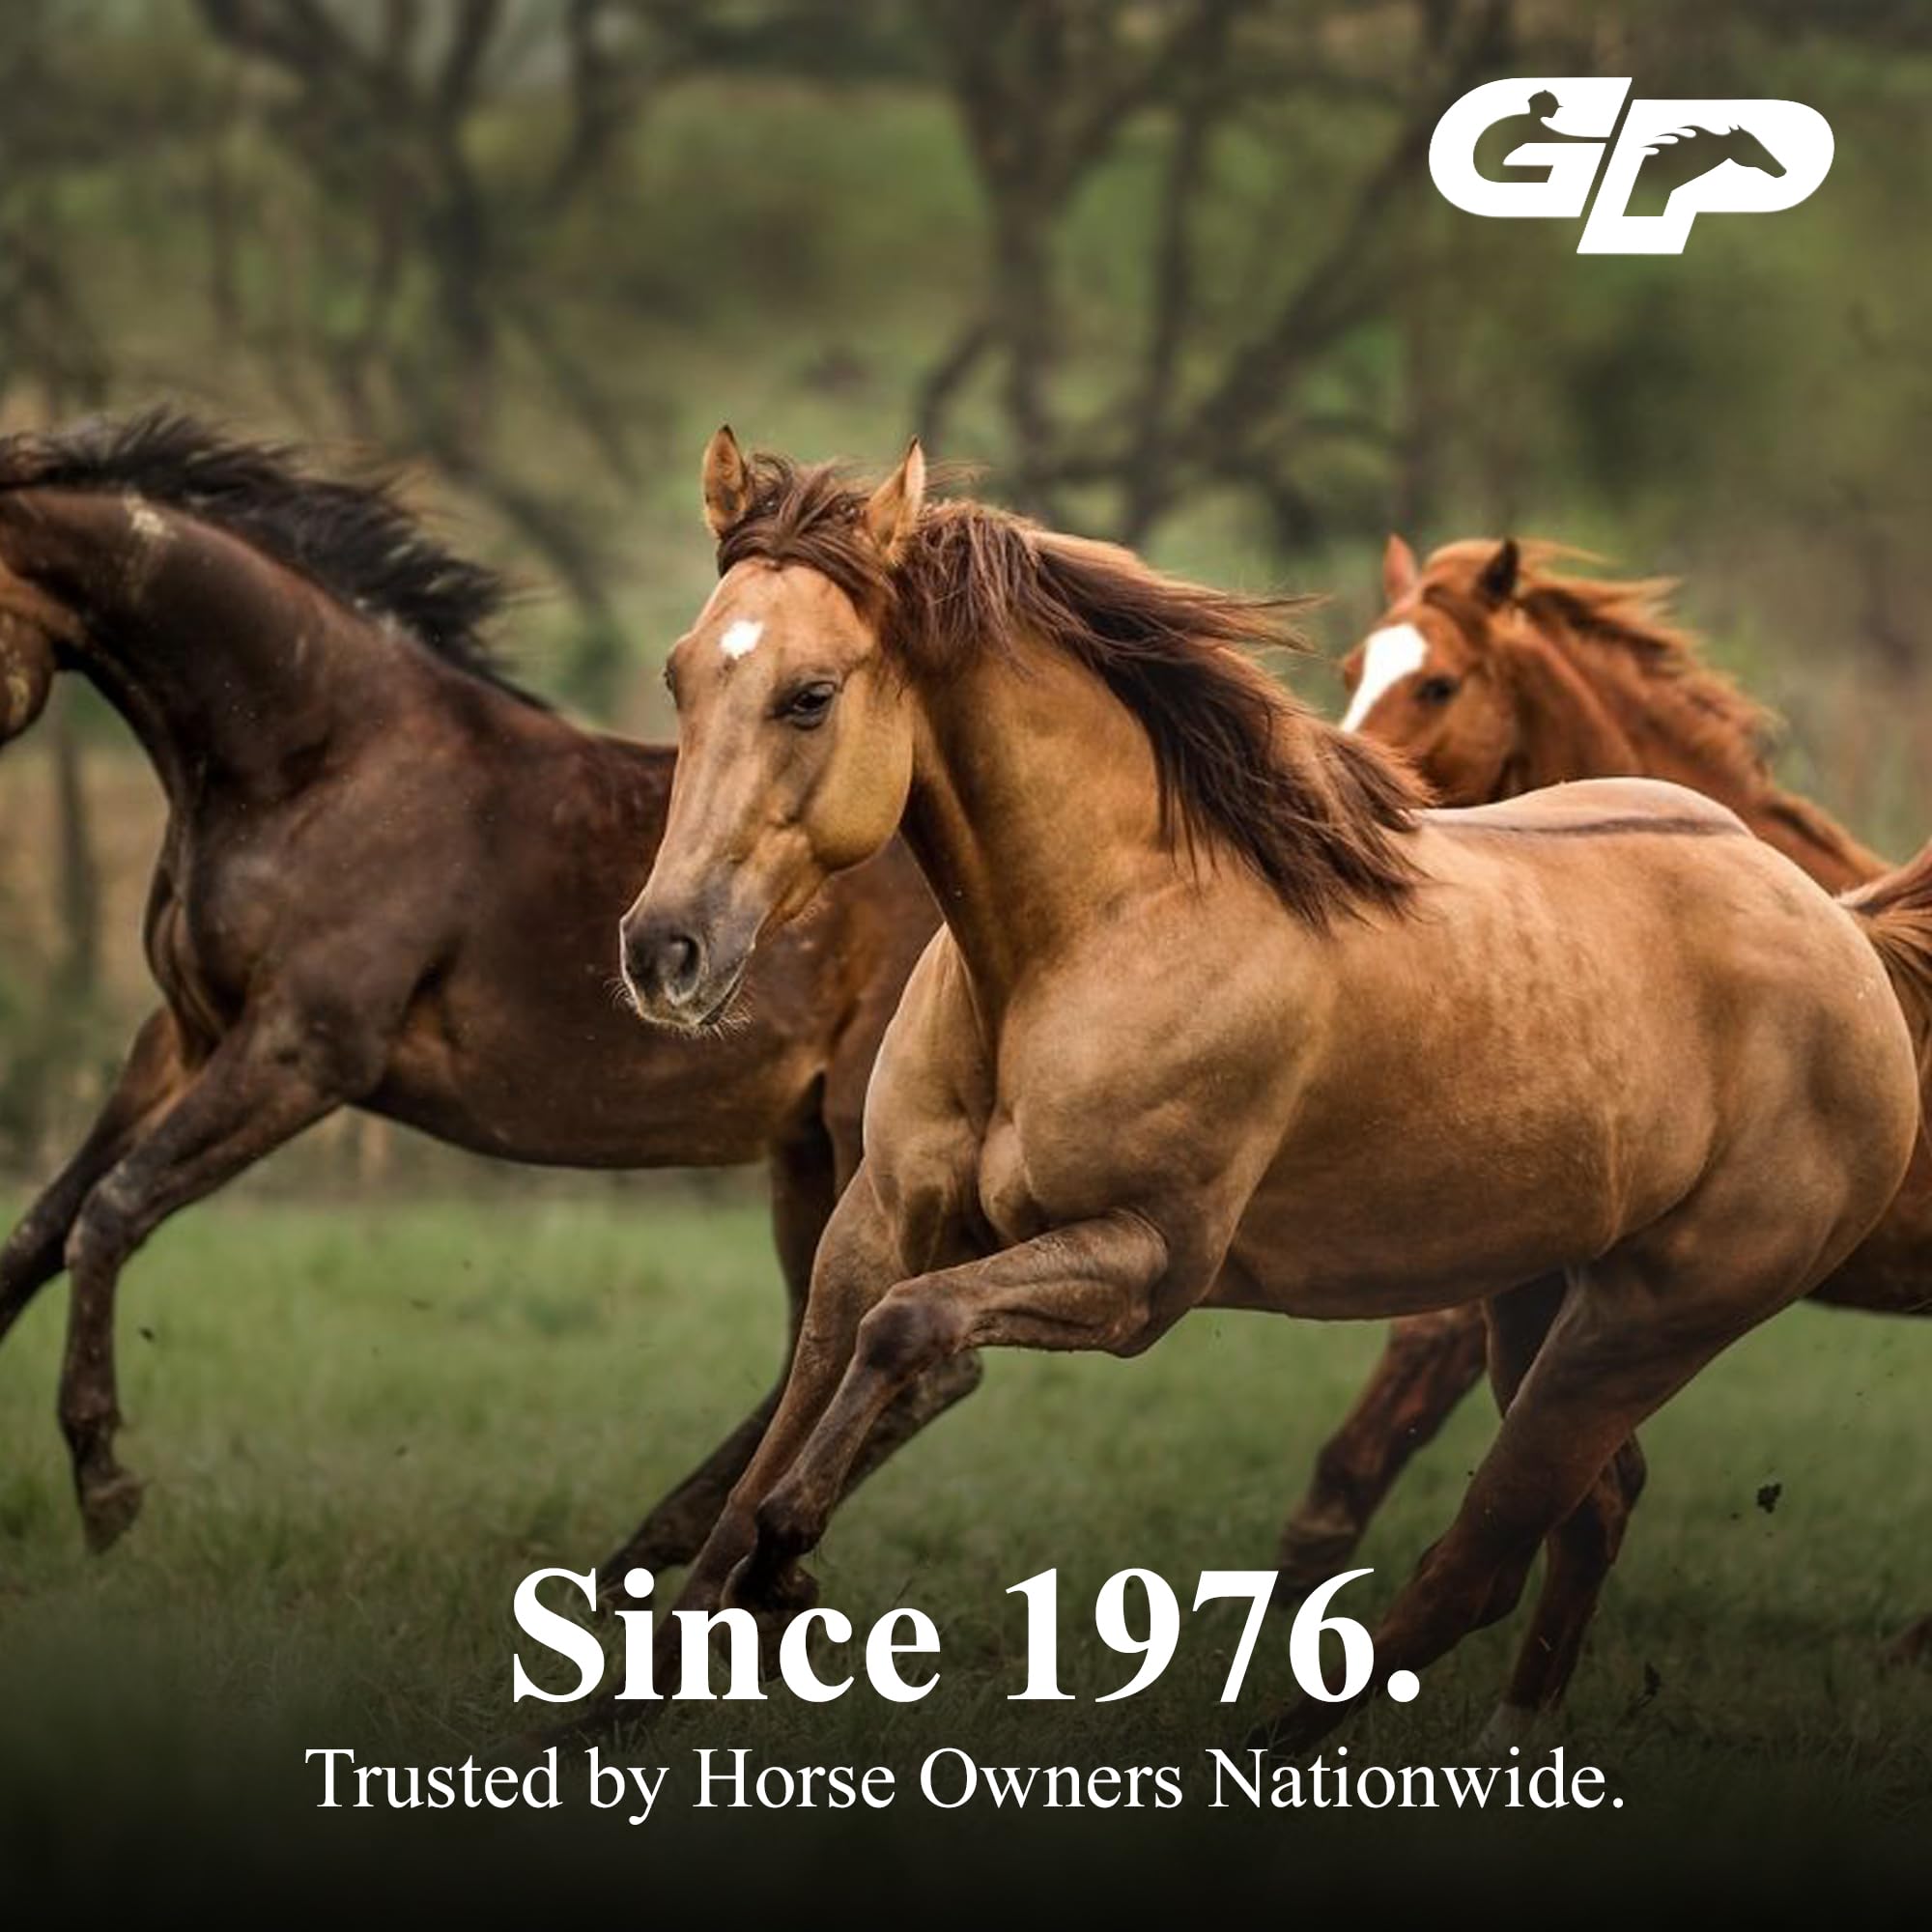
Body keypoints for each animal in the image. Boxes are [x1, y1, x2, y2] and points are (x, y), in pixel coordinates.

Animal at [0, 410, 964, 1576]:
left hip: (864, 1134)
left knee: (907, 1360)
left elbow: (107, 1212)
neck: (314, 761)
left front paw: (105, 1485)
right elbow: (39, 1227)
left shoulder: (301, 1052)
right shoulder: (182, 1034)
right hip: (807, 1149)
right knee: (818, 1348)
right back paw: (662, 1552)